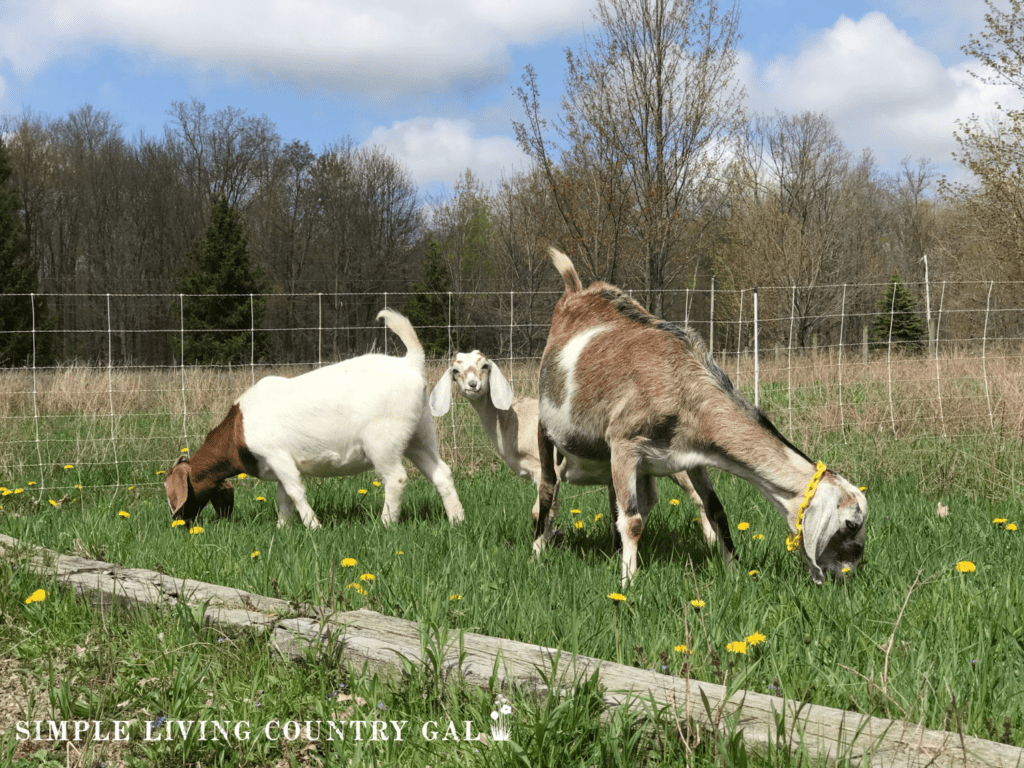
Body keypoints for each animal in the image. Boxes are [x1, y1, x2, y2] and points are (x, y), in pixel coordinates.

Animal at [162, 307, 464, 528]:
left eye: (171, 492)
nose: (178, 522)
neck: (239, 428)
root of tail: (411, 364)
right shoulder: (279, 466)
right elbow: (283, 497)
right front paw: (282, 528)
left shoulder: (277, 456)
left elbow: (296, 492)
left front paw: (313, 526)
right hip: (420, 435)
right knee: (442, 474)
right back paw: (457, 520)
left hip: (383, 440)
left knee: (396, 478)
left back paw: (386, 524)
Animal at [428, 352, 724, 557]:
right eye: (456, 370)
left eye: (484, 366)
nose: (473, 385)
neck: (511, 420)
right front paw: (548, 541)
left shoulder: (543, 469)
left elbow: (540, 511)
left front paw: (539, 549)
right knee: (648, 500)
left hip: (676, 463)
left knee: (698, 497)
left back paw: (710, 540)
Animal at [536, 249, 864, 585]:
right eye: (851, 524)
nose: (847, 574)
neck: (682, 383)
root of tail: (577, 292)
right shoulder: (625, 443)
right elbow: (633, 521)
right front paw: (628, 582)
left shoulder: (691, 455)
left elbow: (715, 510)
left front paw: (734, 572)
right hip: (546, 430)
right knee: (548, 489)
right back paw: (538, 552)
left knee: (616, 499)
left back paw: (613, 552)